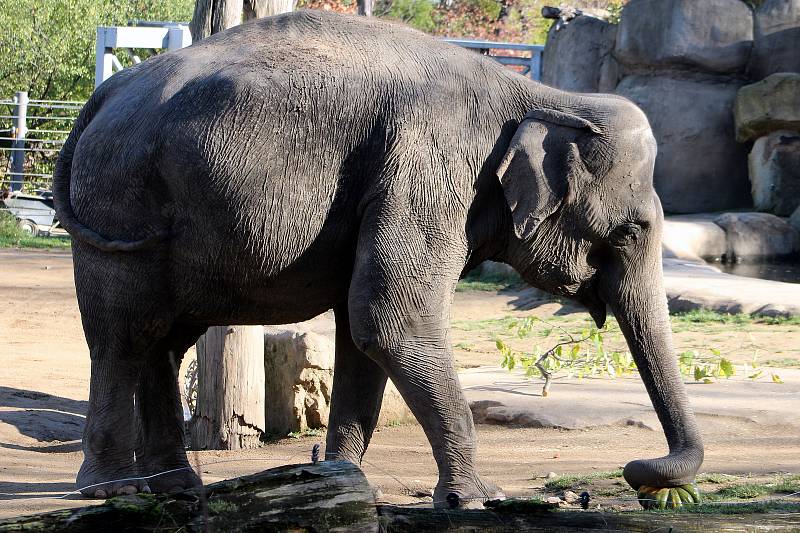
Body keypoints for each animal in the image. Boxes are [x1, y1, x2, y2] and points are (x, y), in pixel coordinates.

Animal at [56, 10, 704, 504]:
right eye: (633, 230)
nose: (640, 473)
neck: (545, 97)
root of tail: (105, 93)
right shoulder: (429, 171)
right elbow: (393, 322)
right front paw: (477, 498)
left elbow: (360, 333)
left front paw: (340, 480)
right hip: (118, 202)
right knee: (123, 335)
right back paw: (112, 490)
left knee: (162, 339)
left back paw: (177, 487)